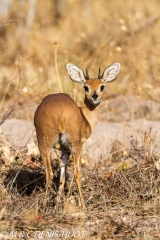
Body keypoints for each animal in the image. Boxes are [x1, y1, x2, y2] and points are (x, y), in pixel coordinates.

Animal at [34, 62, 120, 207]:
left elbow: (62, 174)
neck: (85, 116)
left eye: (102, 86)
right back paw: (83, 205)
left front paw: (57, 201)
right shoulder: (80, 145)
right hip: (75, 145)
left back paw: (46, 205)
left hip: (43, 145)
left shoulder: (65, 150)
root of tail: (60, 112)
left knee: (49, 174)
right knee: (76, 172)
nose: (95, 96)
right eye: (86, 87)